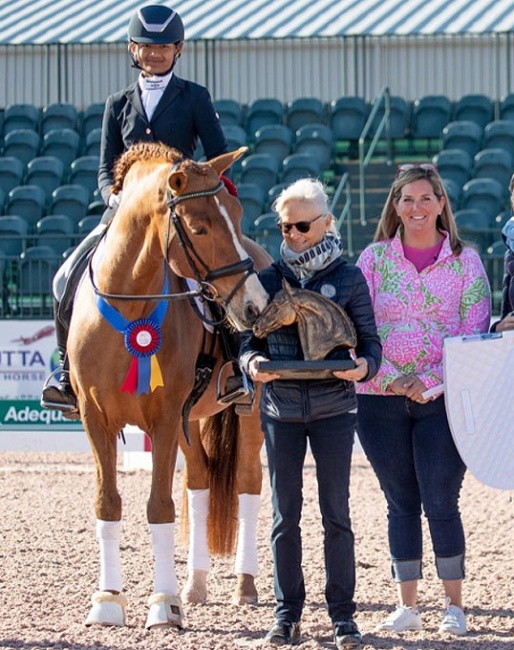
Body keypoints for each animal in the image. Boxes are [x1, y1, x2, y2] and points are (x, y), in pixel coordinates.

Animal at [68, 142, 272, 628]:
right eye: (198, 227)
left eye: (238, 215)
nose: (256, 306)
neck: (131, 303)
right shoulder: (94, 418)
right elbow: (107, 503)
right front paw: (108, 601)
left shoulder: (161, 420)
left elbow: (159, 506)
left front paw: (163, 604)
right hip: (190, 420)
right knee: (199, 481)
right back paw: (195, 585)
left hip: (249, 411)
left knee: (248, 482)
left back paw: (244, 586)